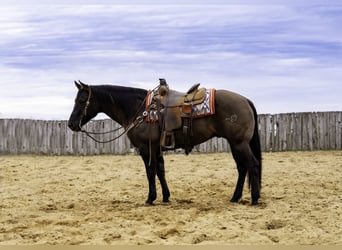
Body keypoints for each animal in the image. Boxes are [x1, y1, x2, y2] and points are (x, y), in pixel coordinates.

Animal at [69, 79, 262, 205]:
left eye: (81, 100)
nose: (71, 124)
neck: (139, 109)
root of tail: (245, 100)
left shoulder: (146, 148)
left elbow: (150, 171)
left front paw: (150, 198)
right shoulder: (156, 148)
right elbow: (160, 171)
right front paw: (166, 197)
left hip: (239, 143)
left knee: (252, 165)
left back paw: (254, 198)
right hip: (235, 144)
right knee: (242, 168)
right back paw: (235, 197)